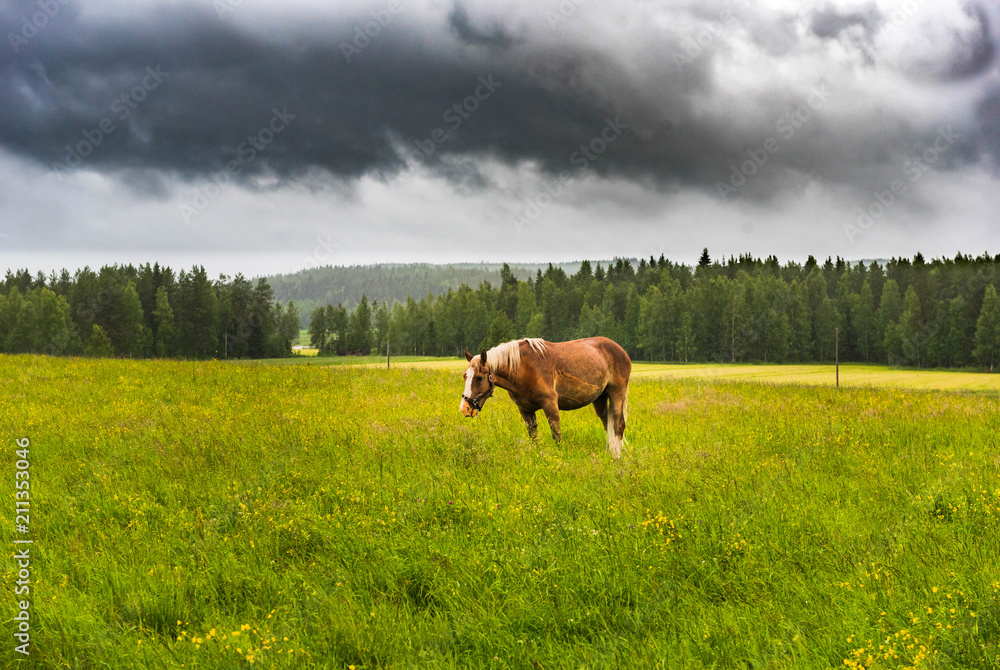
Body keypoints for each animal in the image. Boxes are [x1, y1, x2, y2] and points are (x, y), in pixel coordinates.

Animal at [459, 337, 631, 458]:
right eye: (465, 376)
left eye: (479, 378)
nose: (465, 408)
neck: (524, 368)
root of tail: (621, 350)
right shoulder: (525, 410)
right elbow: (533, 435)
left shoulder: (550, 404)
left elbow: (556, 434)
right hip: (600, 399)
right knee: (608, 424)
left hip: (617, 393)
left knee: (618, 425)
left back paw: (616, 456)